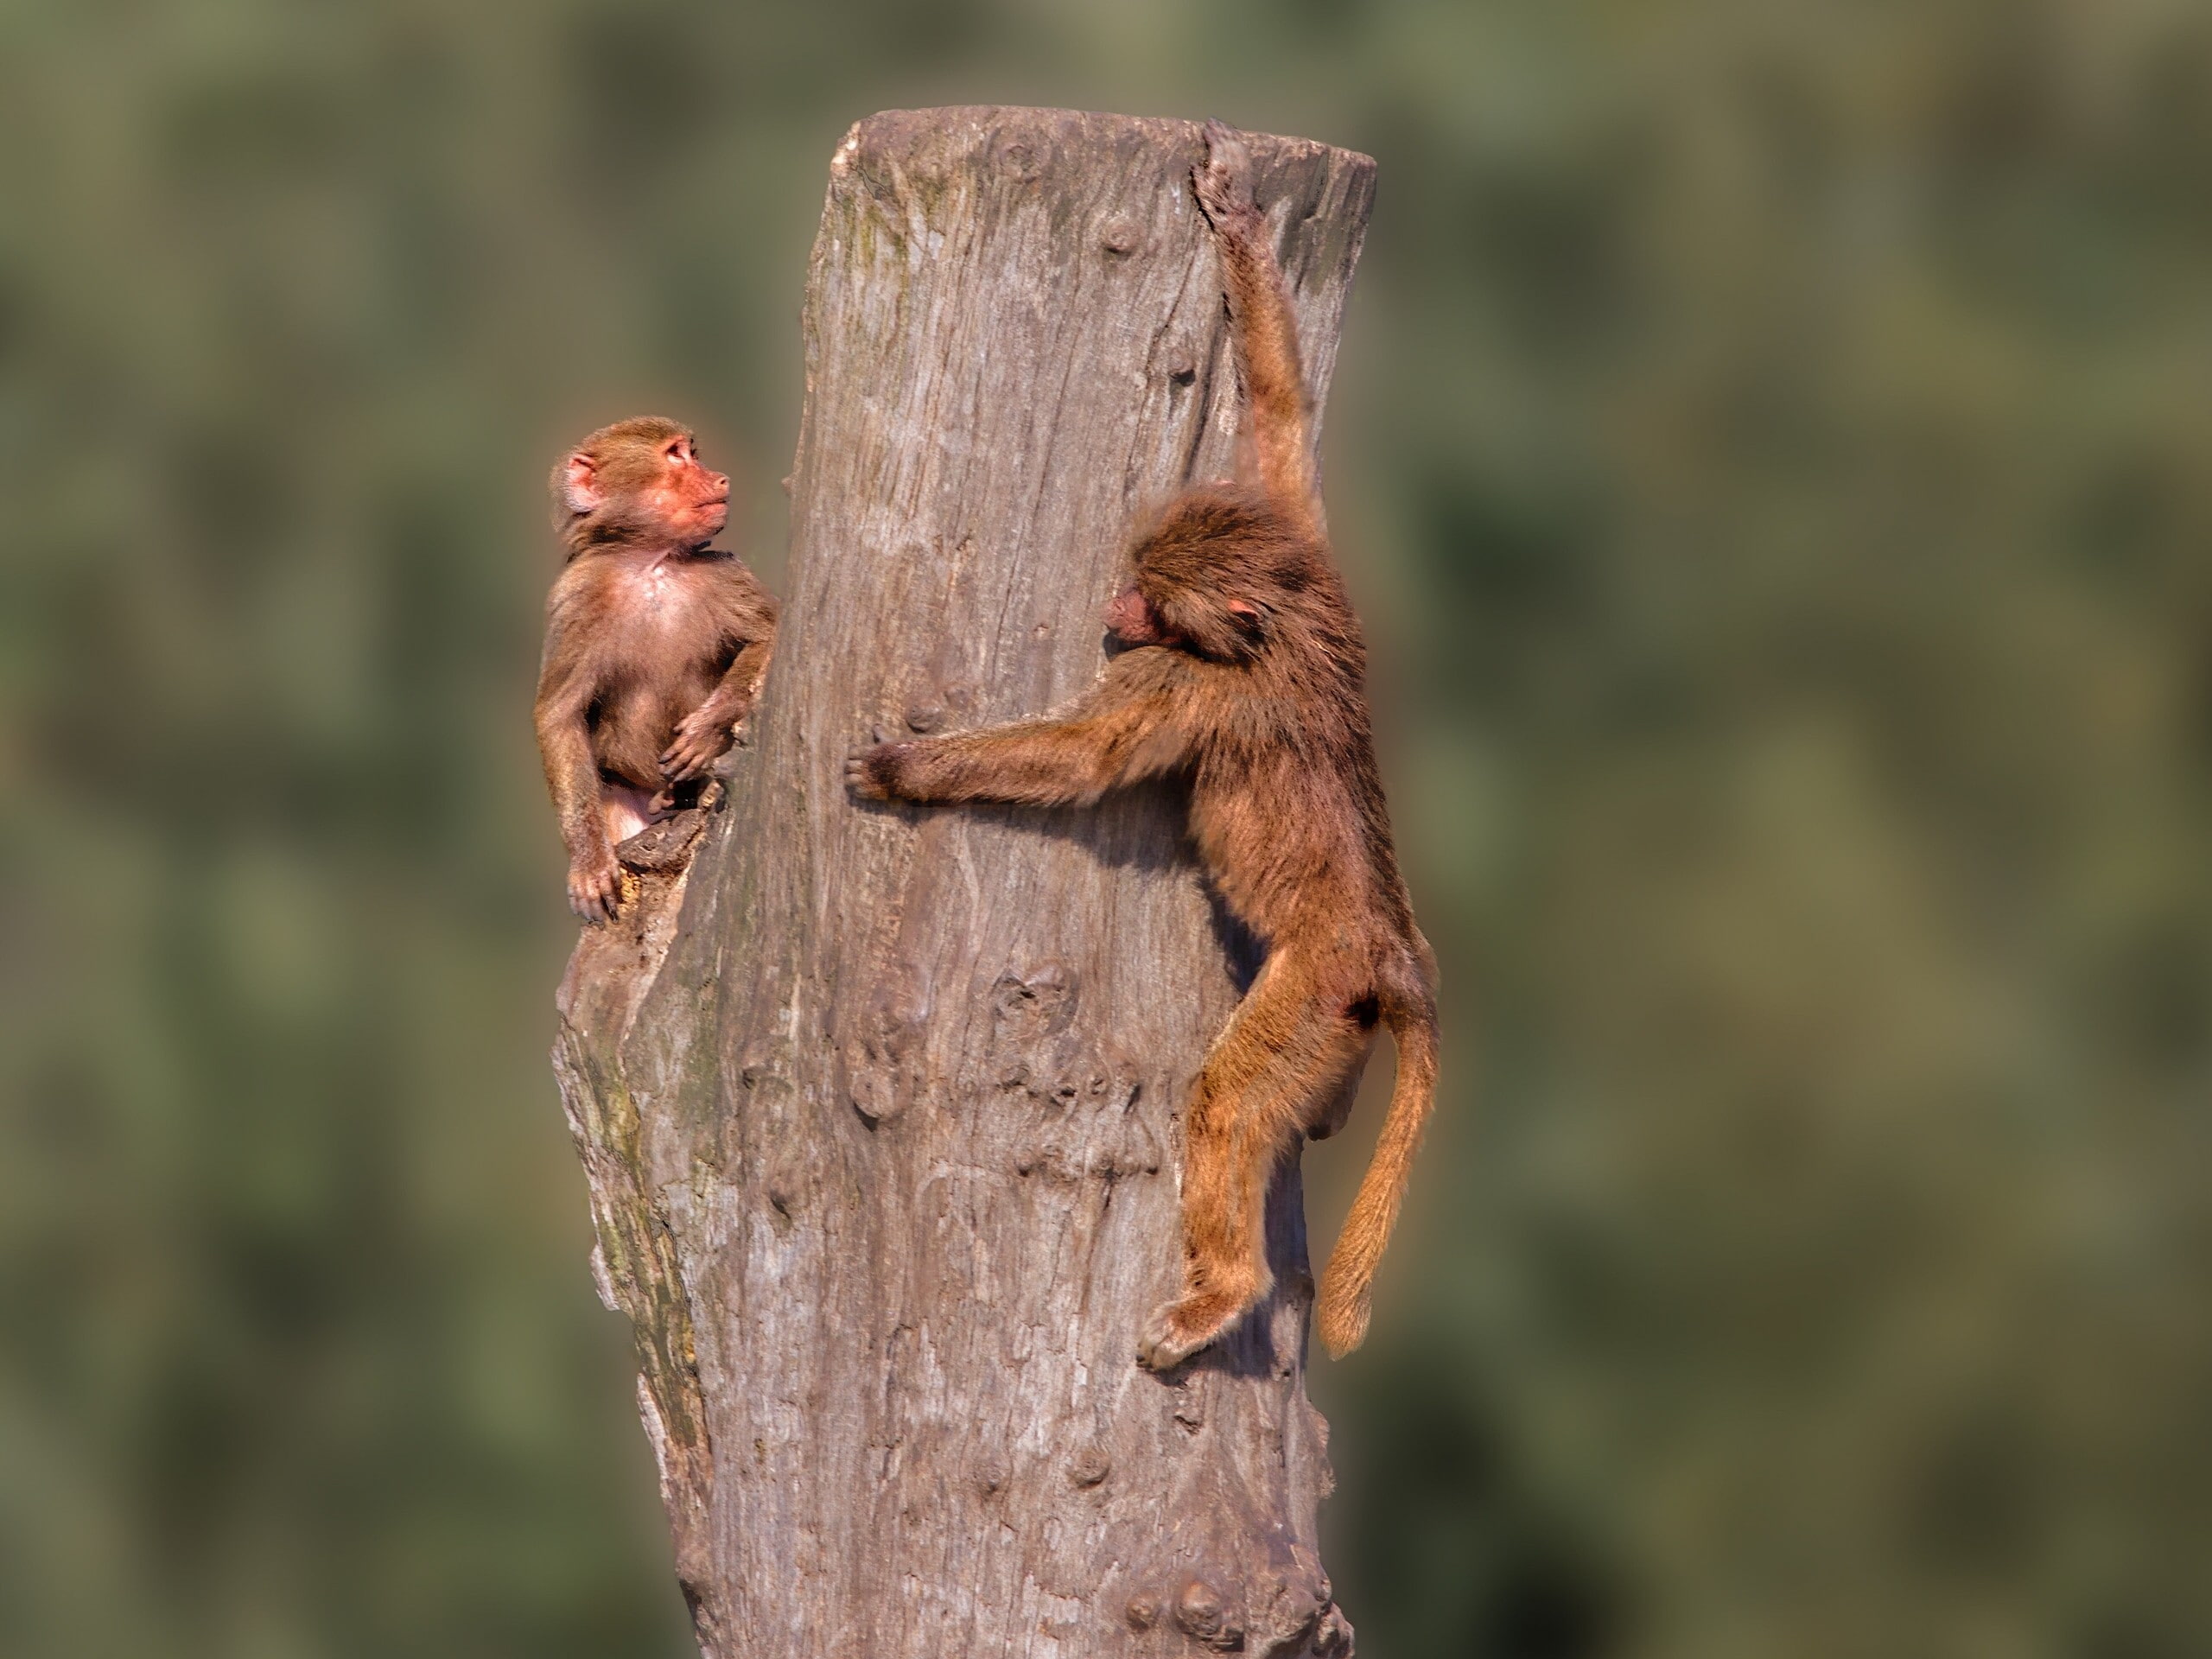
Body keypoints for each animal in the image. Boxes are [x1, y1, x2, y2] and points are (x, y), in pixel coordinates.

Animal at [535, 416, 778, 923]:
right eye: (674, 456)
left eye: (692, 452)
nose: (721, 479)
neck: (652, 564)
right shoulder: (575, 598)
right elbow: (559, 715)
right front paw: (588, 864)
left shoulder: (725, 572)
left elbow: (769, 636)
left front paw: (708, 728)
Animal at [846, 123, 1438, 1368]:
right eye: (1136, 581)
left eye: (1155, 607)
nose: (1115, 610)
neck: (1284, 619)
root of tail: (1393, 950)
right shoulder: (1299, 537)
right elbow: (1278, 415)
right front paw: (1236, 218)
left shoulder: (1191, 685)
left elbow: (1088, 755)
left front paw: (905, 771)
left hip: (1316, 994)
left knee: (1227, 1102)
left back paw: (1220, 1293)